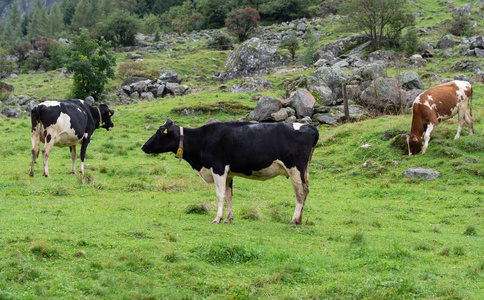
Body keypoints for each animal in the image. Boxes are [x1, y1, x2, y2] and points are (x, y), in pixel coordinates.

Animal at [142, 118, 320, 224]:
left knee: (300, 192)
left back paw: (294, 220)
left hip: (295, 168)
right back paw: (300, 219)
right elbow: (229, 195)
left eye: (158, 132)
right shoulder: (228, 173)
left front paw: (218, 218)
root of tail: (309, 126)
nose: (143, 146)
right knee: (306, 190)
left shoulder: (218, 169)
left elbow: (220, 195)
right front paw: (228, 218)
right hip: (304, 170)